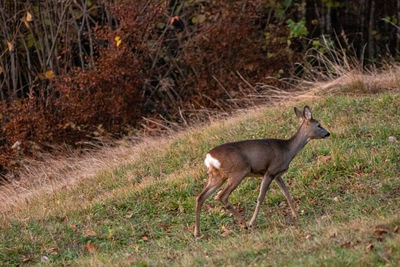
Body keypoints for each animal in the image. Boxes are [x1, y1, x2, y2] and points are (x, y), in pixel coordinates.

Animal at [193, 105, 328, 238]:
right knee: (221, 195)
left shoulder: (277, 175)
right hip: (238, 172)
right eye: (318, 125)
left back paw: (197, 233)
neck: (287, 150)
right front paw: (252, 222)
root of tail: (209, 158)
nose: (328, 133)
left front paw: (296, 215)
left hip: (217, 176)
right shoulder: (270, 171)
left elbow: (287, 193)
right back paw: (244, 224)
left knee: (200, 197)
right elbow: (260, 197)